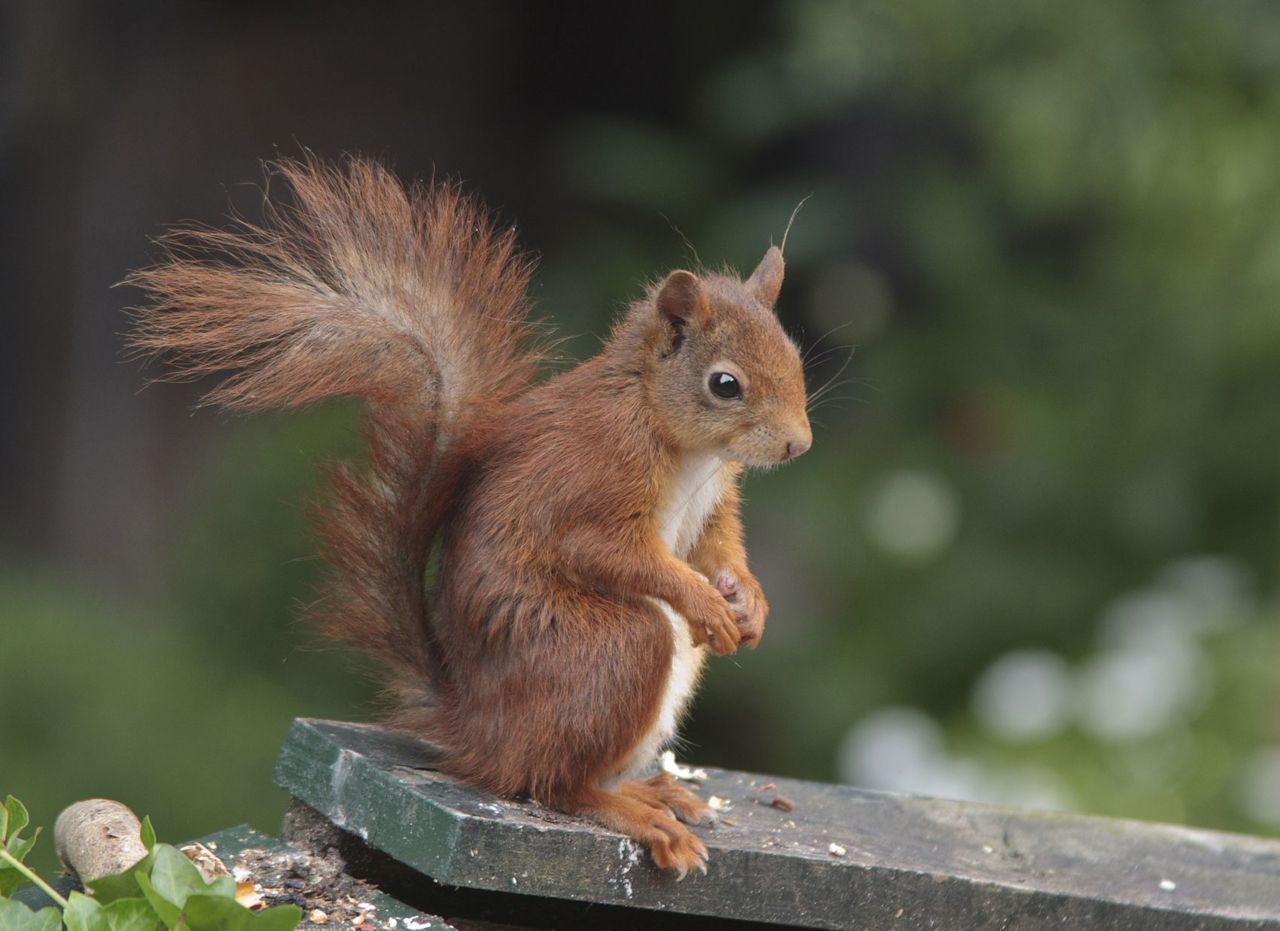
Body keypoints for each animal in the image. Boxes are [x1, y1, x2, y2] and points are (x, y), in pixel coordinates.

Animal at [129, 156, 808, 875]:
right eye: (725, 384)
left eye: (793, 356)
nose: (799, 444)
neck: (674, 433)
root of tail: (477, 728)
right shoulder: (592, 481)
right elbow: (608, 551)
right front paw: (703, 599)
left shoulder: (714, 502)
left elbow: (718, 546)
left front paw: (747, 598)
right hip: (609, 648)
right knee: (551, 783)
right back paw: (634, 812)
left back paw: (654, 789)